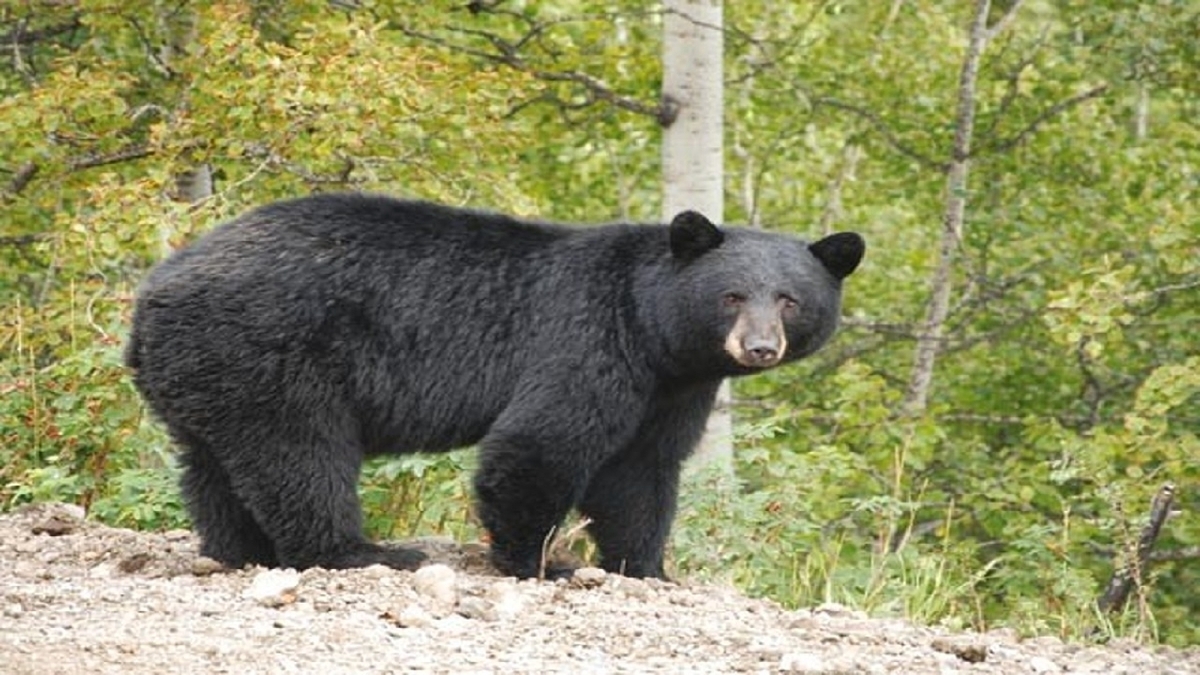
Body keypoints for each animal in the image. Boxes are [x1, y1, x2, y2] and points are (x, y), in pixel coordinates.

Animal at [126, 194, 864, 578]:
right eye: (732, 294)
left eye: (790, 299)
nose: (760, 346)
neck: (652, 330)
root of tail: (152, 294)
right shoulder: (587, 340)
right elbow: (541, 443)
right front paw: (541, 562)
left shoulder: (671, 388)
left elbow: (641, 471)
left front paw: (645, 566)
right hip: (273, 353)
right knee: (299, 455)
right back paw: (362, 551)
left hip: (208, 370)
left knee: (214, 465)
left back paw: (239, 550)